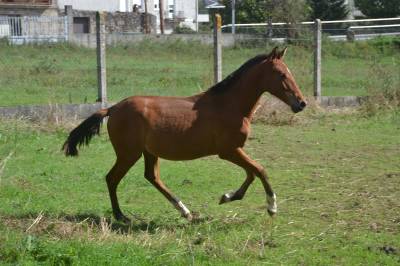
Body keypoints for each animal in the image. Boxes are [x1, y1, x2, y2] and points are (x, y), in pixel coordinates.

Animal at [62, 46, 306, 221]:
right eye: (281, 74)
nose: (301, 103)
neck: (229, 105)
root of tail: (112, 108)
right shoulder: (228, 151)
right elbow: (260, 170)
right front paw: (272, 207)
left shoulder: (234, 150)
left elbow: (252, 173)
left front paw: (227, 197)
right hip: (128, 153)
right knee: (112, 178)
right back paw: (121, 216)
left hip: (148, 152)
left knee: (152, 177)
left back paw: (185, 211)